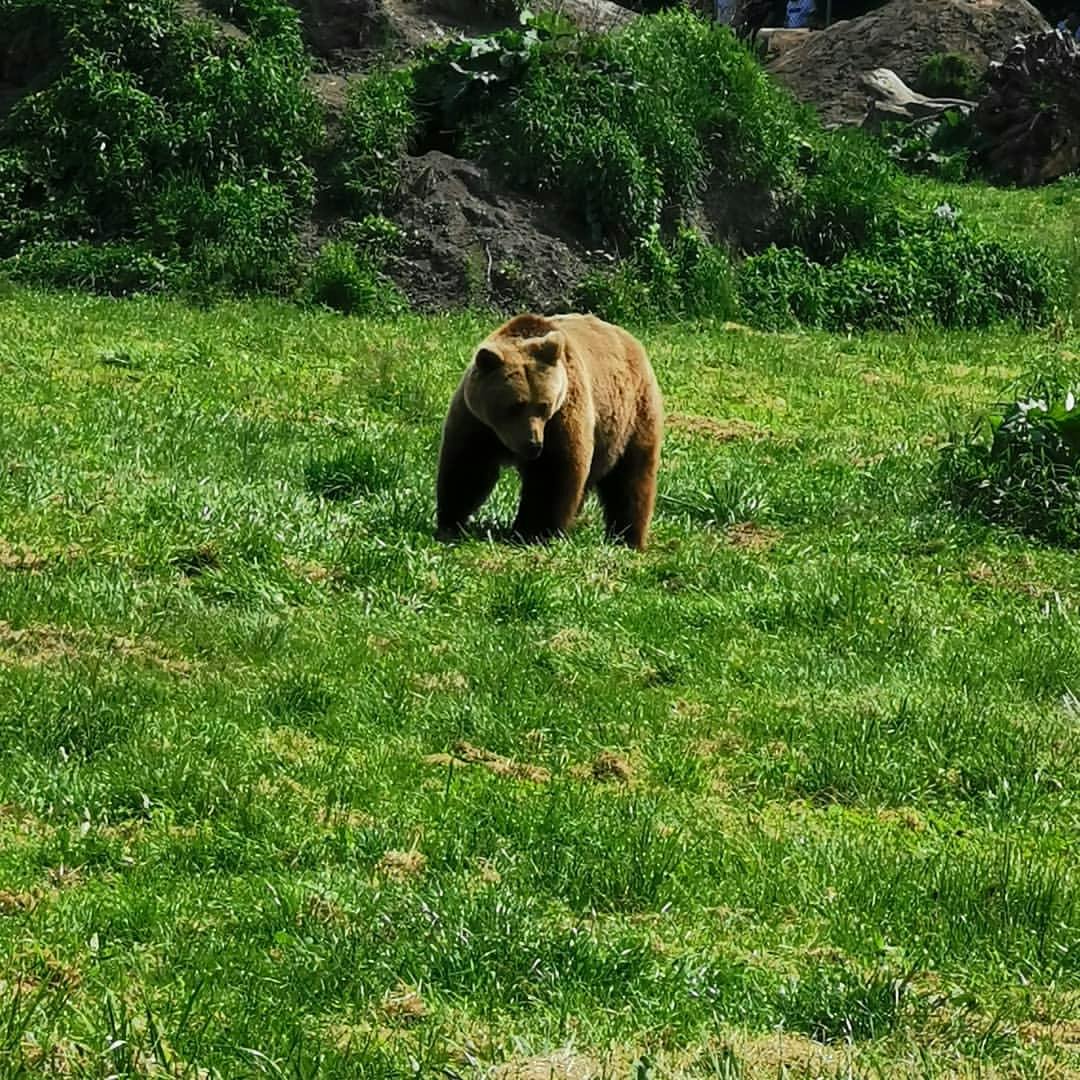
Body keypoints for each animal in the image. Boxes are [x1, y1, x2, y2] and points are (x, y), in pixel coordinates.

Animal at [434, 313, 660, 548]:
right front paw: (450, 524)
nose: (533, 444)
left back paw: (627, 538)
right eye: (515, 405)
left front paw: (535, 531)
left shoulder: (562, 416)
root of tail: (629, 339)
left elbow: (552, 474)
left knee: (630, 479)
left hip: (630, 419)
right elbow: (467, 466)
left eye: (544, 405)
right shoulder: (477, 421)